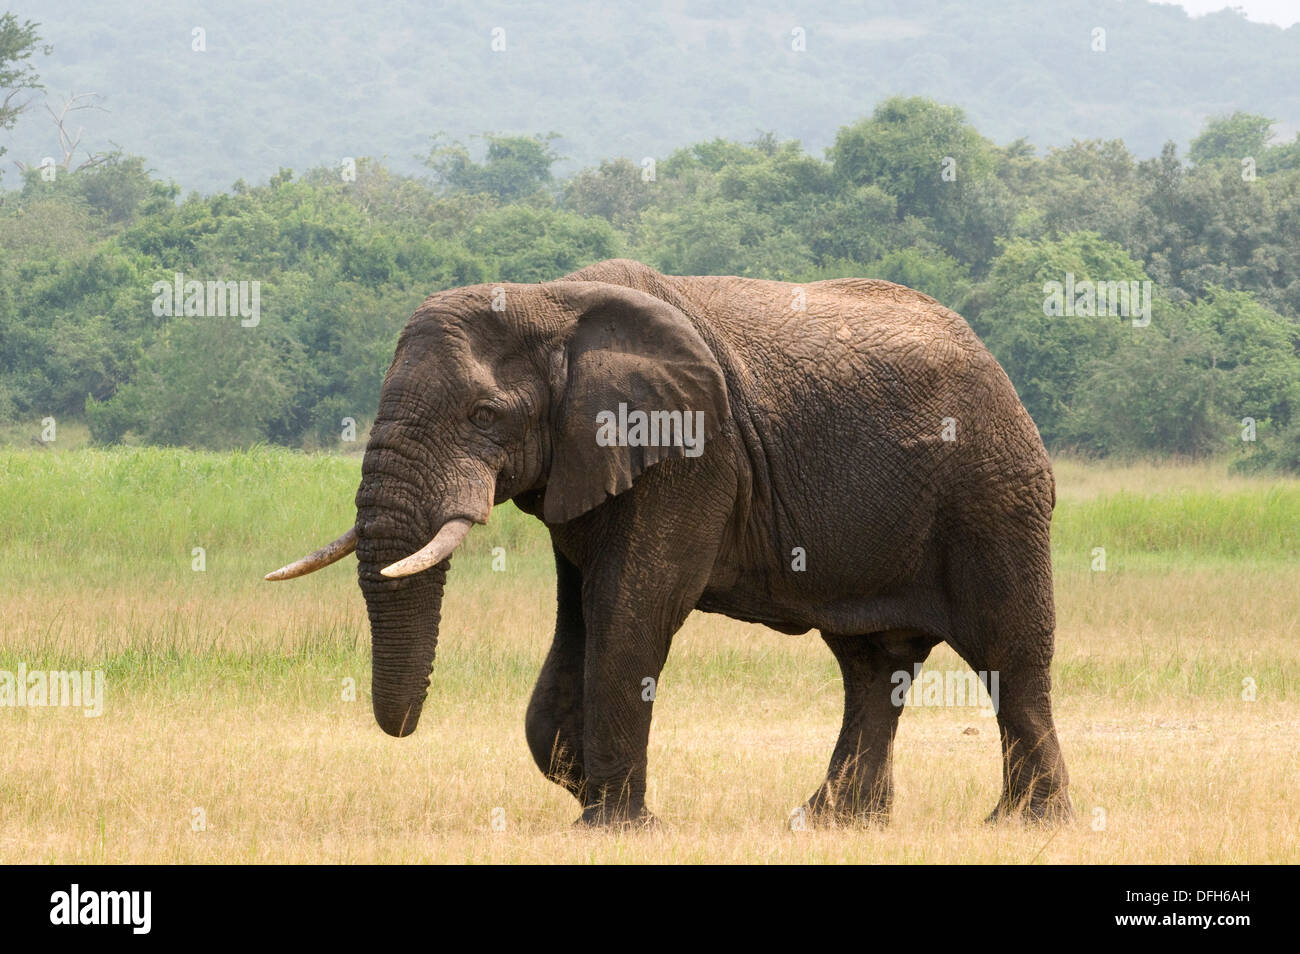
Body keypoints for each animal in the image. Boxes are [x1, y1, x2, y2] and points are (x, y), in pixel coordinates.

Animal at [263, 256, 1066, 831]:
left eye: (485, 414)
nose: (401, 731)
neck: (551, 300)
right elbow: (583, 615)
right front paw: (586, 792)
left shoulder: (690, 454)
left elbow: (633, 608)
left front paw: (615, 825)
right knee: (872, 665)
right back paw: (832, 823)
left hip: (994, 494)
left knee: (1007, 654)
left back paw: (1022, 824)